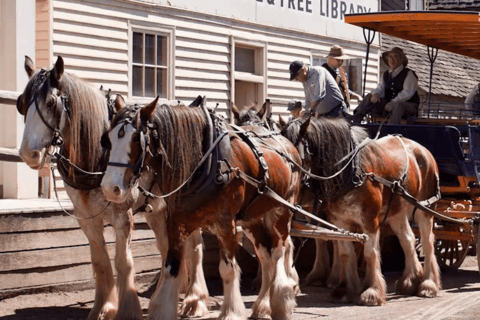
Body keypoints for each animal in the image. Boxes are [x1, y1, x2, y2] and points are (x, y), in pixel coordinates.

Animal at [16, 56, 210, 318]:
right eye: (22, 103)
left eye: (50, 102)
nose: (28, 154)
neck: (98, 156)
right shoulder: (86, 217)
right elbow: (100, 261)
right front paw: (102, 308)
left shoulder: (122, 215)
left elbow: (123, 262)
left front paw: (127, 310)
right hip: (158, 209)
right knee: (165, 248)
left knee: (195, 245)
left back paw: (195, 300)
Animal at [102, 97, 300, 320]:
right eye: (108, 138)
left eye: (136, 138)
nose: (110, 188)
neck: (206, 162)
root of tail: (287, 144)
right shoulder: (176, 222)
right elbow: (172, 266)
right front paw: (164, 309)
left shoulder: (226, 223)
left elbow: (228, 269)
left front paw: (231, 311)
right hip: (252, 218)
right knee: (266, 256)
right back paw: (263, 305)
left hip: (281, 212)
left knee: (279, 251)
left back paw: (281, 300)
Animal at [282, 114, 442, 304]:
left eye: (294, 157)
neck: (351, 172)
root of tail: (423, 150)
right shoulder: (340, 220)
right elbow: (345, 254)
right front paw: (344, 289)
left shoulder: (369, 220)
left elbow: (370, 253)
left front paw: (371, 291)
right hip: (397, 212)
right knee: (408, 240)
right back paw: (410, 280)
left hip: (426, 209)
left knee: (427, 242)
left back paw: (428, 284)